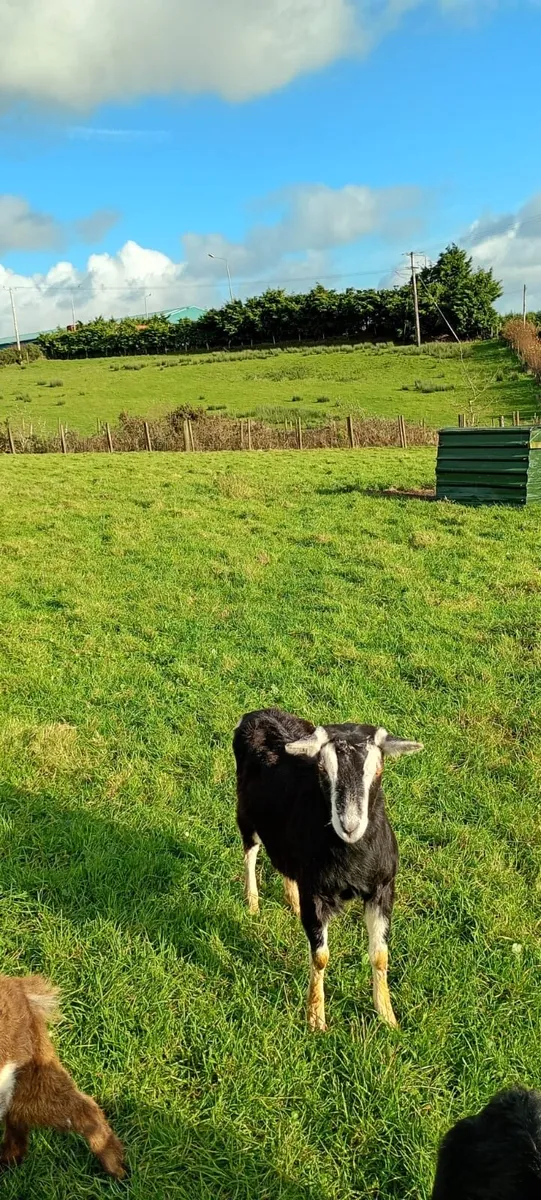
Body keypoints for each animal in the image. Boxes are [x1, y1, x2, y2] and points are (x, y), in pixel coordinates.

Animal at [233, 708, 422, 1031]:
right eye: (323, 770)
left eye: (379, 770)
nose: (349, 825)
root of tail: (257, 713)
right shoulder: (316, 891)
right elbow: (320, 957)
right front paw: (315, 1019)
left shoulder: (383, 888)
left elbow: (380, 955)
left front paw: (388, 1017)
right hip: (246, 813)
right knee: (250, 851)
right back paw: (253, 903)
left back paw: (292, 903)